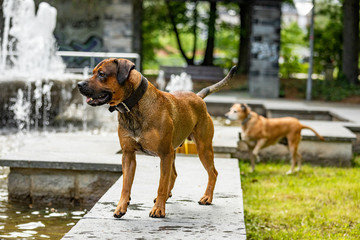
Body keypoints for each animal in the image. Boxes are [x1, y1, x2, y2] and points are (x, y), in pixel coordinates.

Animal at [77, 57, 238, 218]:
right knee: (174, 174)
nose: (79, 84)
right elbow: (126, 185)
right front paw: (121, 207)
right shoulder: (128, 155)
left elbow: (161, 184)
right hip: (174, 151)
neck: (132, 108)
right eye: (93, 72)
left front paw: (159, 209)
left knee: (212, 173)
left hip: (203, 148)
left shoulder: (165, 154)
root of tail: (198, 97)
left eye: (102, 74)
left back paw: (207, 197)